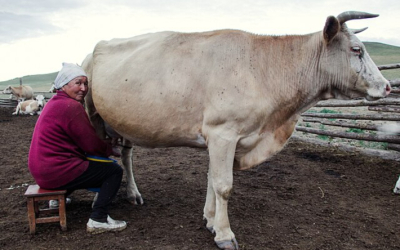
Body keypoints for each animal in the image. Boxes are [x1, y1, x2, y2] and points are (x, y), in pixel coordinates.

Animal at [82, 10, 390, 249]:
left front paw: (209, 220)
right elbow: (223, 185)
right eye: (356, 49)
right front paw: (224, 234)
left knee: (124, 155)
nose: (387, 86)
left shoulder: (219, 138)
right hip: (91, 113)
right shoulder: (223, 133)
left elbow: (211, 179)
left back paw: (131, 194)